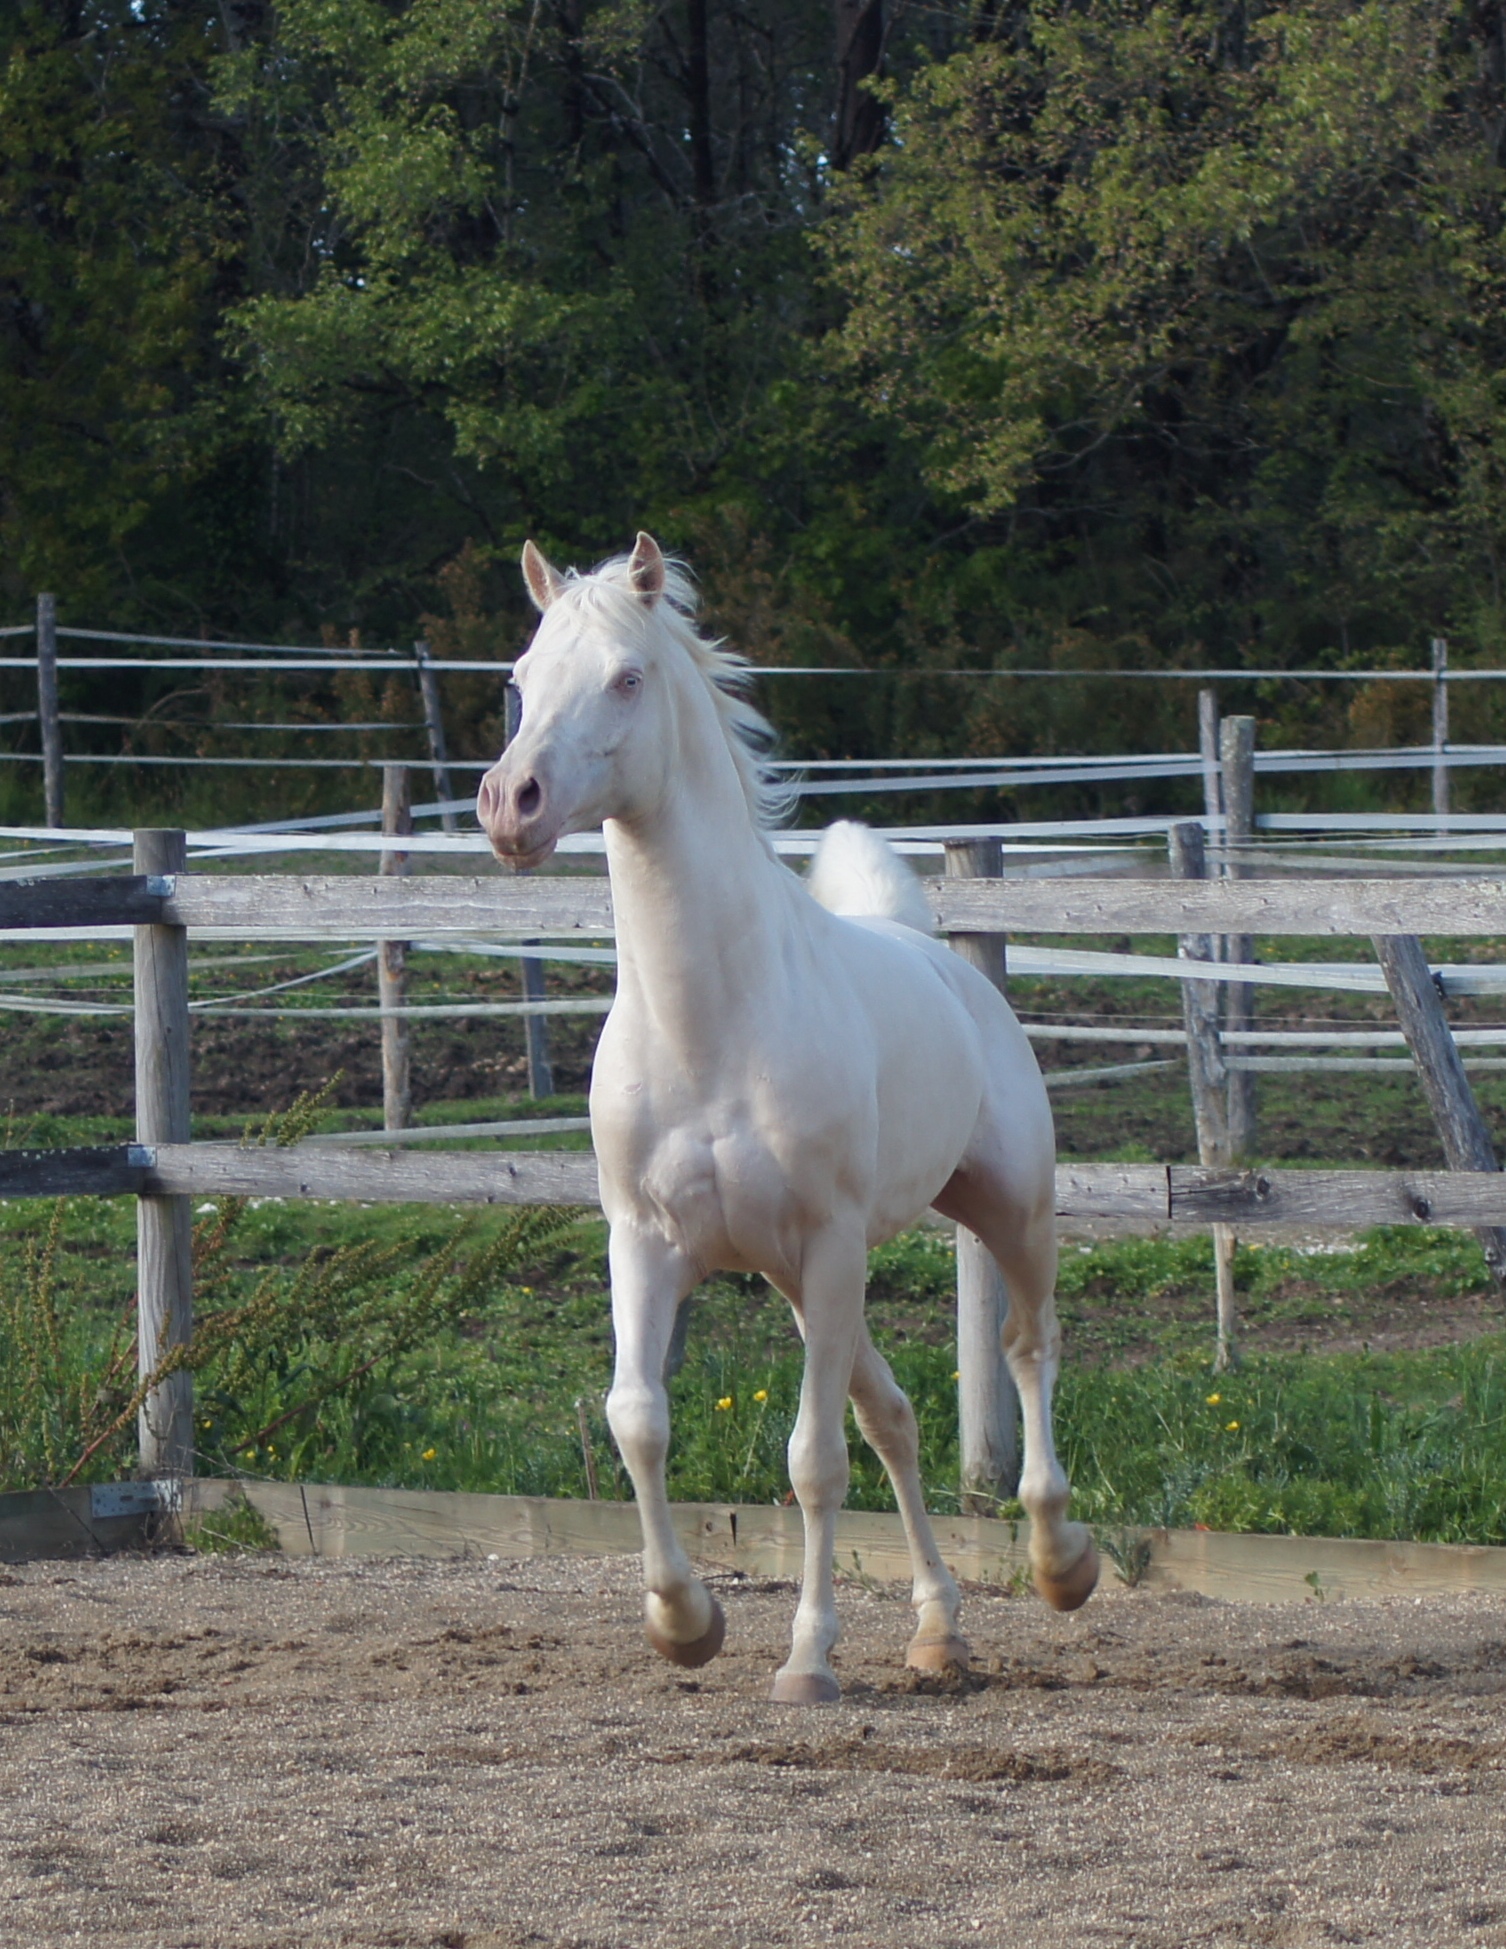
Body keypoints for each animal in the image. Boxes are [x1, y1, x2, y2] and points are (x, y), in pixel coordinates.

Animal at [479, 537, 1091, 1707]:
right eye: (520, 680)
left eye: (627, 677)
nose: (511, 803)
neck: (711, 1024)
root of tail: (939, 959)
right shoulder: (647, 1243)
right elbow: (638, 1417)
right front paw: (684, 1622)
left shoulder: (833, 1241)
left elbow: (812, 1461)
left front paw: (807, 1659)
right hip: (803, 1284)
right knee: (893, 1415)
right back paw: (938, 1631)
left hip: (1003, 1212)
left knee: (1026, 1349)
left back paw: (1059, 1560)